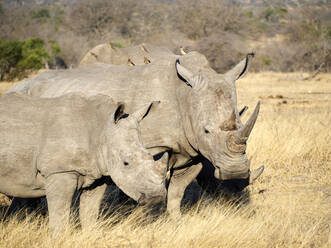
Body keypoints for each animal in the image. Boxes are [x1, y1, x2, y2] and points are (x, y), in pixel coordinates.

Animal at [0, 93, 167, 234]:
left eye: (151, 156)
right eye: (126, 163)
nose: (156, 197)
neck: (102, 129)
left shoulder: (97, 173)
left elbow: (90, 212)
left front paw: (91, 235)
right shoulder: (60, 171)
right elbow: (60, 213)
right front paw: (59, 238)